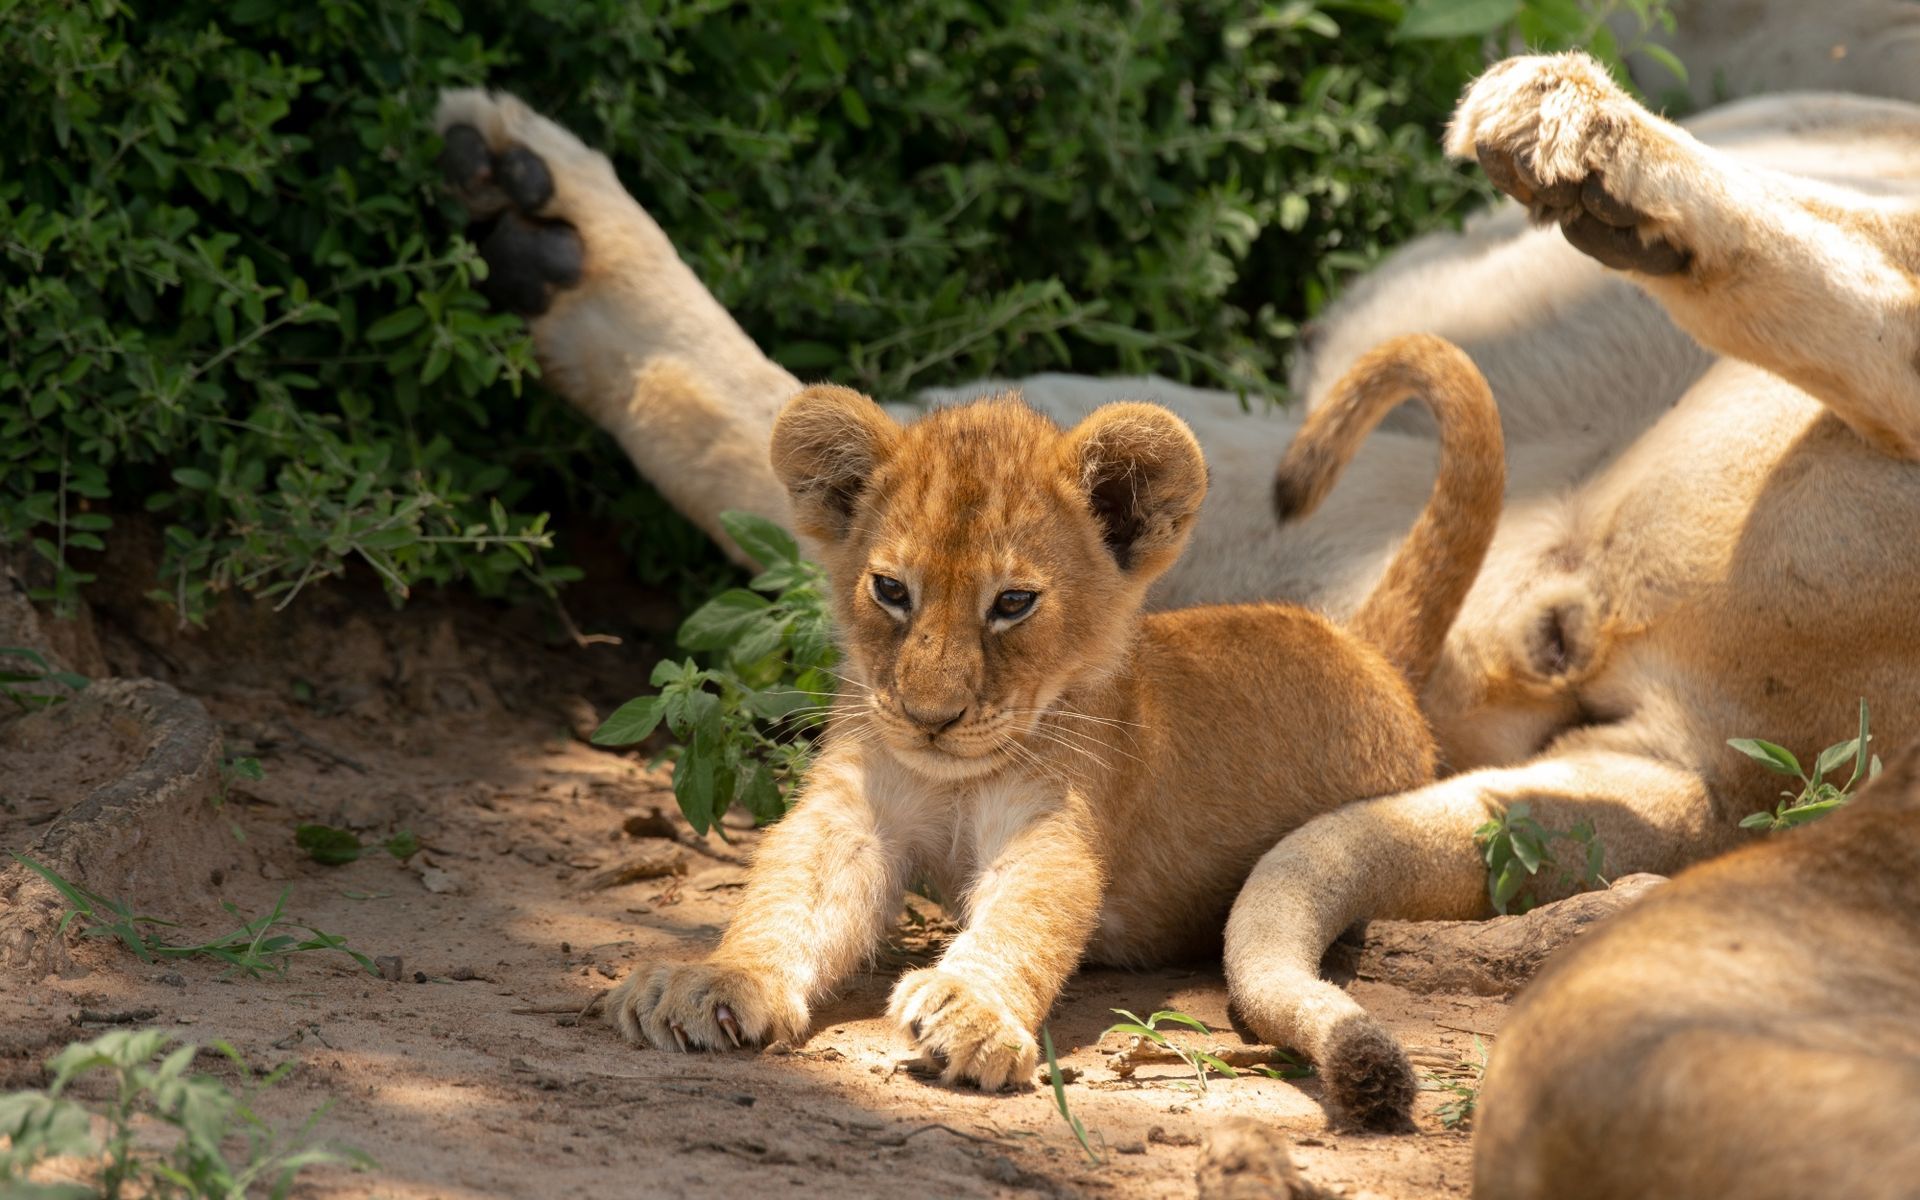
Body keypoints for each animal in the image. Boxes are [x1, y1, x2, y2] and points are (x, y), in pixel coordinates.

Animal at [602, 333, 1503, 1087]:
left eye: (1013, 603)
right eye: (891, 590)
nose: (930, 716)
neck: (956, 778)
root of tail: (1364, 650)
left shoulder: (1057, 825)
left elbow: (1028, 915)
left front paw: (970, 1010)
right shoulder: (852, 813)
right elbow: (787, 893)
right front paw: (715, 981)